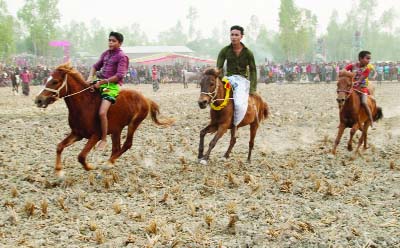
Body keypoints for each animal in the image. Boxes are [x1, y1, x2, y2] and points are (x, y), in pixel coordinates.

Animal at [34, 63, 172, 177]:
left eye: (55, 81)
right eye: (47, 80)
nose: (38, 100)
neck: (84, 105)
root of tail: (145, 99)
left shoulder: (96, 135)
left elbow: (81, 156)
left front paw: (90, 167)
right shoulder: (77, 134)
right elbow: (59, 147)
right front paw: (59, 171)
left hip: (134, 123)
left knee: (127, 144)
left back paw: (108, 163)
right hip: (116, 130)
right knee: (116, 148)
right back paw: (110, 163)